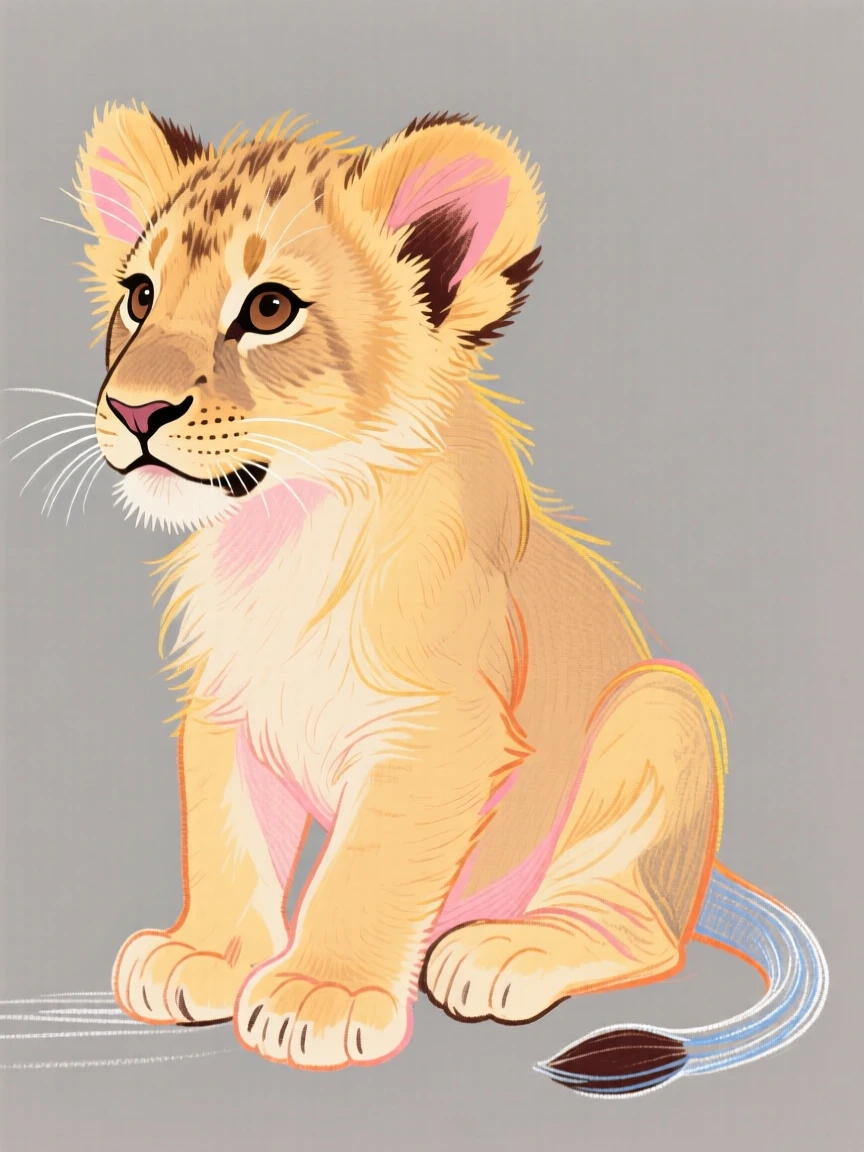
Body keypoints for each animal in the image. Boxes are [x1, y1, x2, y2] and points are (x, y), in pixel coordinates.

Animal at [57, 103, 826, 1094]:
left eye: (269, 310)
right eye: (141, 295)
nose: (134, 411)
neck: (285, 530)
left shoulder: (437, 730)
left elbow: (366, 870)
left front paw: (322, 996)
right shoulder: (227, 706)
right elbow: (230, 837)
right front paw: (207, 958)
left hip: (663, 708)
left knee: (645, 929)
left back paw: (500, 953)